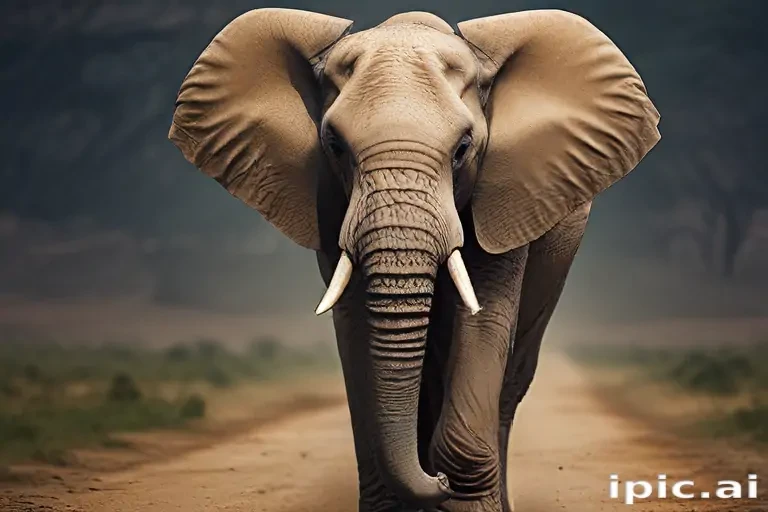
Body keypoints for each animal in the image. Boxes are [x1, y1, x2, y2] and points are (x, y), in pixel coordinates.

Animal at [168, 8, 660, 512]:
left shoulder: (506, 193)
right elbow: (354, 326)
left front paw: (458, 491)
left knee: (510, 380)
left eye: (463, 148)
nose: (436, 480)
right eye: (335, 145)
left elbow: (484, 317)